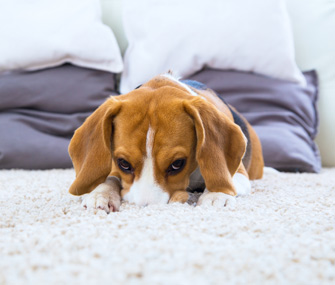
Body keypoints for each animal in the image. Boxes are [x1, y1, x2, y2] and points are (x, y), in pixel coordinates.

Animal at [68, 72, 266, 212]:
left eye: (177, 164)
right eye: (123, 163)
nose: (146, 209)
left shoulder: (239, 173)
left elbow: (221, 176)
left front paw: (216, 195)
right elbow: (109, 178)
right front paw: (100, 194)